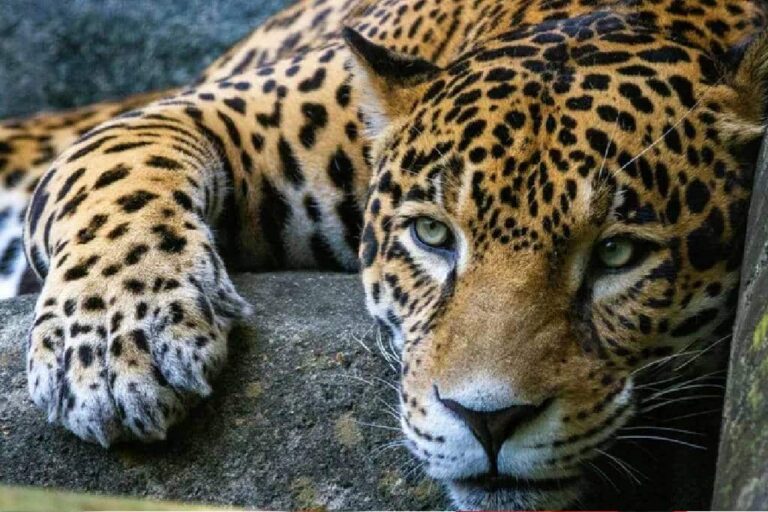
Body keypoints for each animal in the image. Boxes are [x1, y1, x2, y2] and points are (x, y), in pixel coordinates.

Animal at [1, 0, 767, 508]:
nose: (488, 421)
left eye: (616, 253)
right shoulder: (218, 112)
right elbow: (119, 169)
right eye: (432, 236)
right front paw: (112, 352)